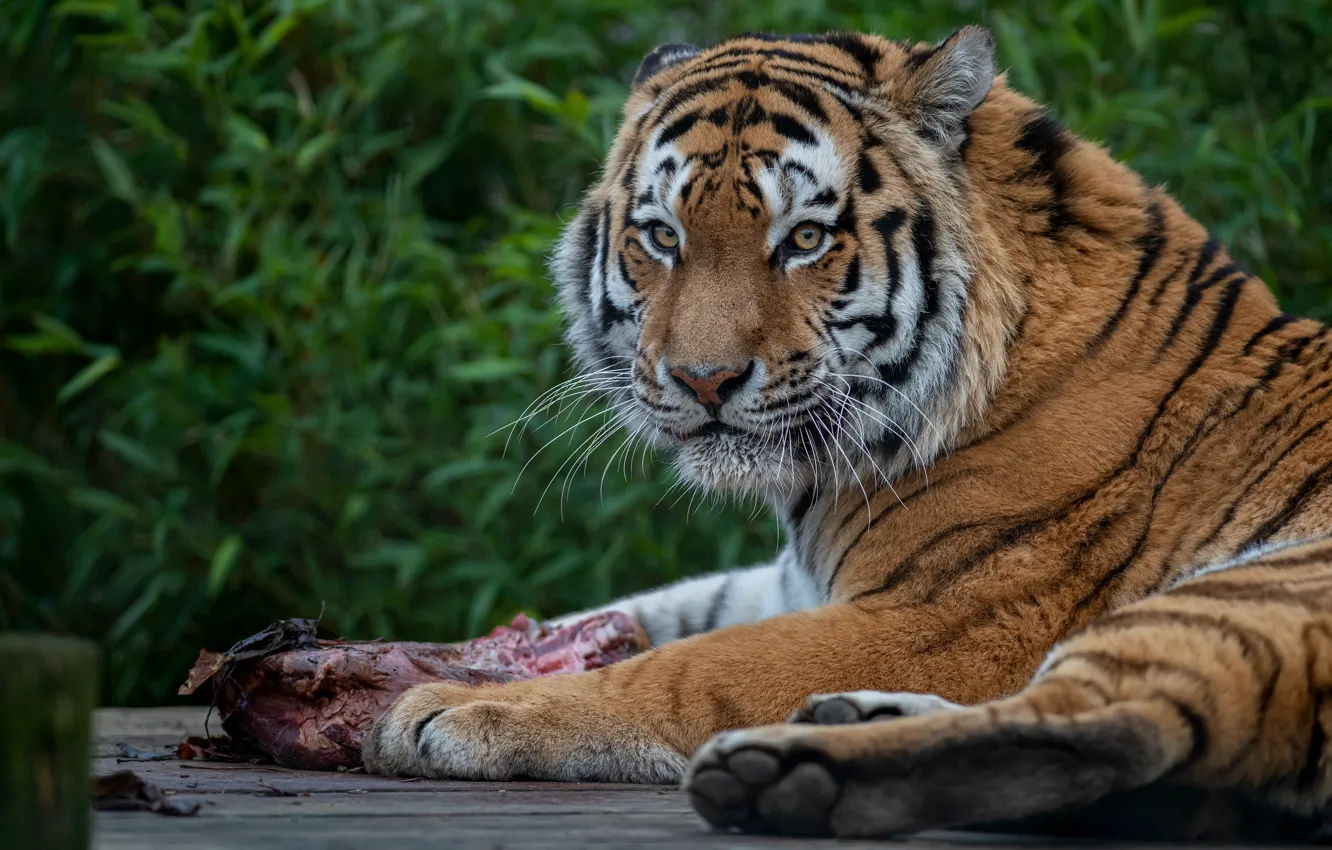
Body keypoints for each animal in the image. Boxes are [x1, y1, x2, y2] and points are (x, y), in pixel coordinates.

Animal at [362, 25, 1332, 840]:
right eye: (663, 237)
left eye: (805, 239)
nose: (703, 380)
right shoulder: (793, 579)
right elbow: (653, 610)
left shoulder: (949, 615)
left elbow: (691, 666)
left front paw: (451, 709)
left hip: (1257, 585)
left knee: (1109, 728)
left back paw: (785, 773)